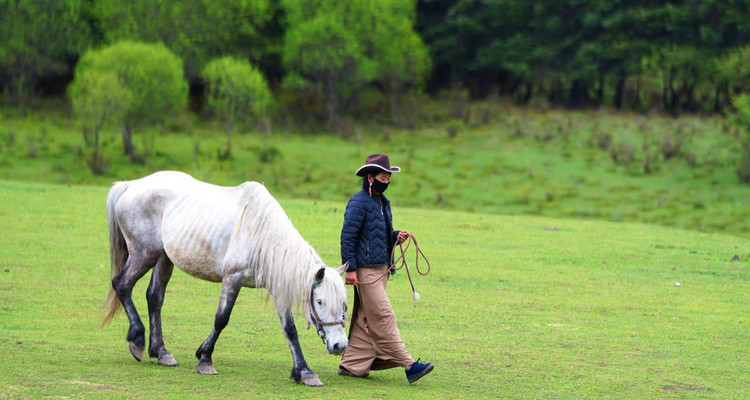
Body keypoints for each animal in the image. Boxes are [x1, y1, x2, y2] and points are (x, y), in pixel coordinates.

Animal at [101, 170, 352, 386]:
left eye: (344, 305)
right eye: (319, 301)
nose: (340, 345)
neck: (263, 235)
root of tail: (130, 185)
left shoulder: (278, 289)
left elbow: (289, 329)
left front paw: (305, 372)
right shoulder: (232, 278)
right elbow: (221, 319)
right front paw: (205, 360)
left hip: (164, 258)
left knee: (155, 297)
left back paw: (161, 352)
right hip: (144, 254)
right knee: (122, 285)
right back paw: (137, 339)